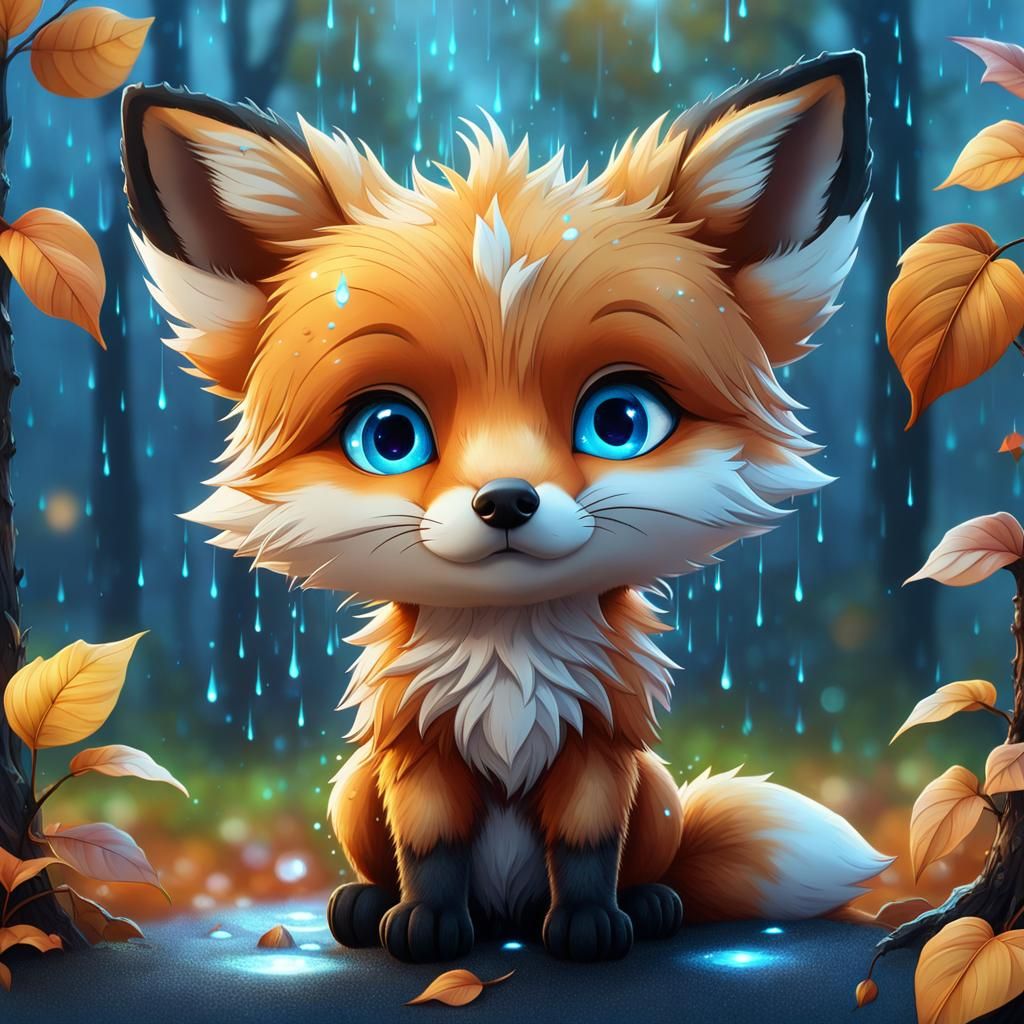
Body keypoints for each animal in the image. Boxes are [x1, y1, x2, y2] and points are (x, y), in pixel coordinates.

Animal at [120, 50, 890, 964]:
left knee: (651, 861)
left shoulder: (597, 743)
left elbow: (587, 849)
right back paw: (365, 905)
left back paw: (651, 903)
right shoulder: (419, 748)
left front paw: (591, 927)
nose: (506, 501)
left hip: (657, 790)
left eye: (620, 421)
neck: (508, 655)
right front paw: (425, 926)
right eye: (389, 435)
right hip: (354, 787)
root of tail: (508, 915)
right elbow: (432, 848)